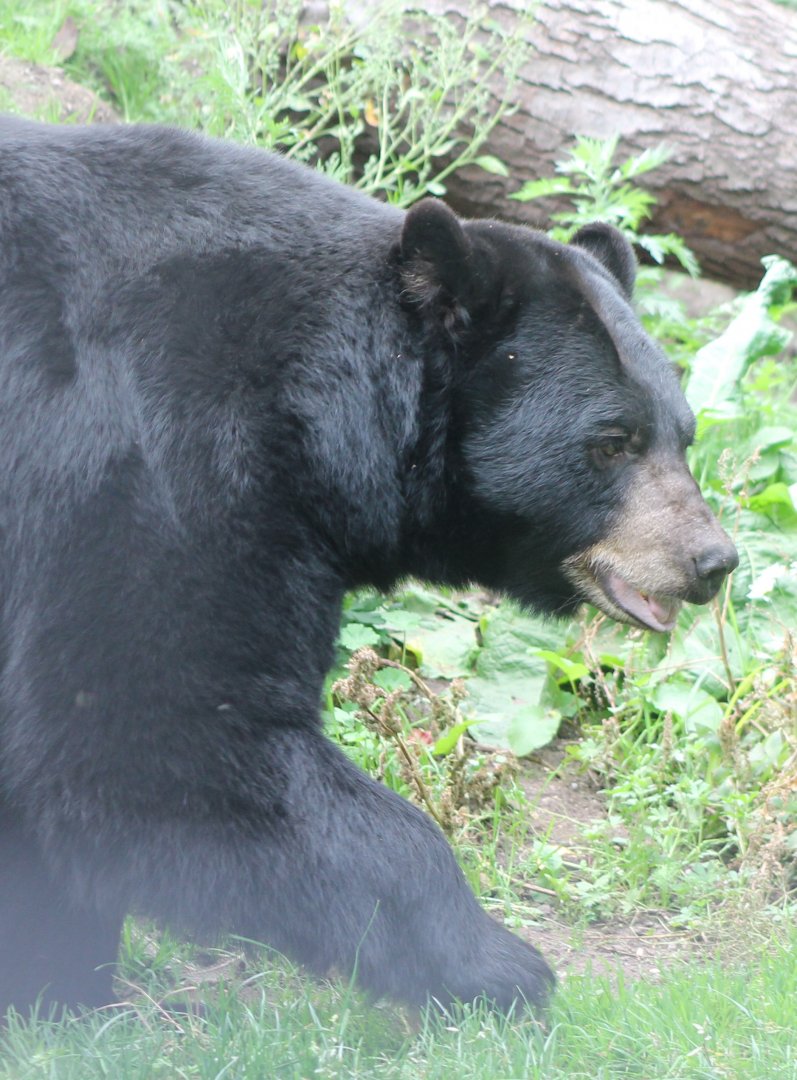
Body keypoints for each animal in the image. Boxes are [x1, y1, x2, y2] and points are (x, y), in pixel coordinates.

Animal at [0, 116, 737, 1018]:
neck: (312, 403)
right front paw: (500, 966)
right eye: (611, 442)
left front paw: (57, 982)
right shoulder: (150, 459)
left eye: (683, 434)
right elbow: (145, 730)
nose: (710, 558)